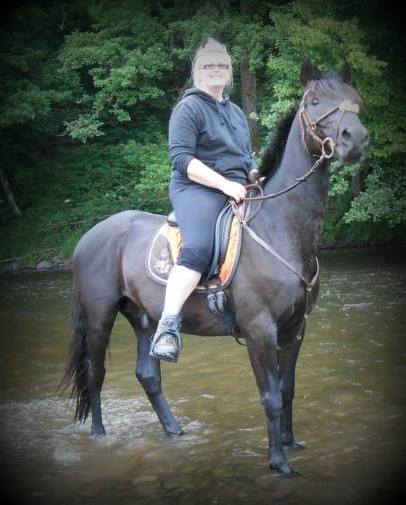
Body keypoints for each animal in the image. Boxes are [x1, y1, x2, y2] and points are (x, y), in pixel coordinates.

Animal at [60, 60, 368, 476]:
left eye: (354, 99)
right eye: (314, 101)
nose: (357, 139)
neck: (280, 228)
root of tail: (89, 236)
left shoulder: (295, 328)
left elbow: (287, 390)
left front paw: (290, 443)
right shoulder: (259, 330)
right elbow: (270, 396)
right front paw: (279, 463)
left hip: (144, 317)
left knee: (148, 374)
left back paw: (174, 431)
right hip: (99, 316)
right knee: (95, 374)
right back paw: (99, 434)